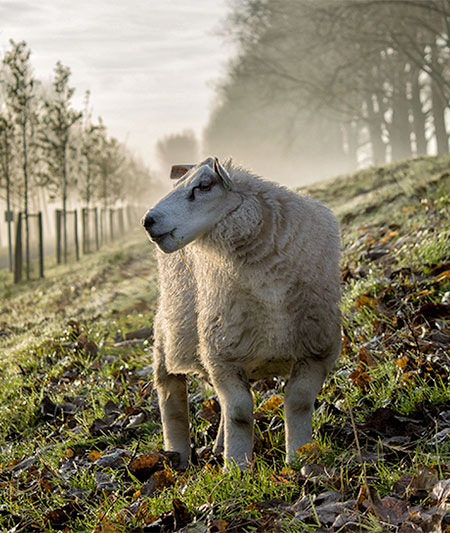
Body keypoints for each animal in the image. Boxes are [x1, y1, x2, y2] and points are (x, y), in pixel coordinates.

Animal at [142, 156, 342, 468]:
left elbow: (297, 402)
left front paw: (299, 458)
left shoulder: (317, 349)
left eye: (204, 186)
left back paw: (216, 447)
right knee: (171, 398)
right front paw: (236, 467)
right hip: (169, 336)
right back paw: (178, 455)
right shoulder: (222, 355)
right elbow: (239, 412)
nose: (147, 221)